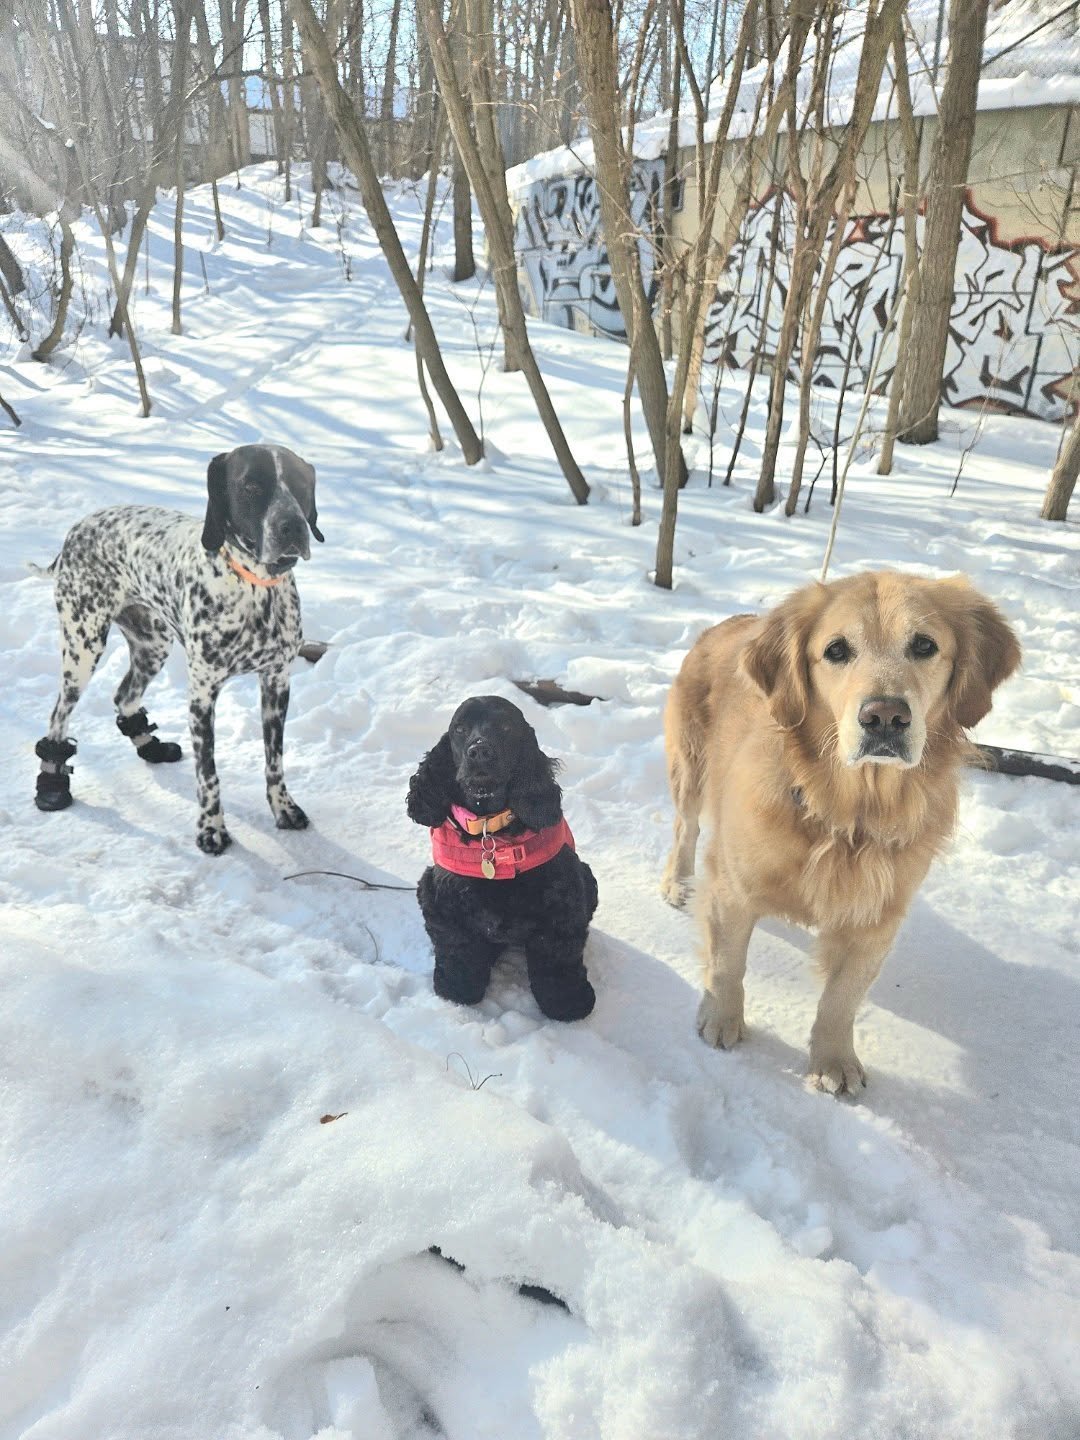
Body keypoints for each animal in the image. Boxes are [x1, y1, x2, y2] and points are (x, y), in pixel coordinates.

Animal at [32, 444, 324, 855]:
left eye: (299, 483)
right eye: (251, 485)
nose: (293, 526)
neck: (253, 589)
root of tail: (77, 529)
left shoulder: (277, 683)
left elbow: (274, 762)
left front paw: (284, 808)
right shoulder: (203, 695)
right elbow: (208, 773)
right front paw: (211, 828)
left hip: (153, 645)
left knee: (124, 696)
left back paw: (150, 747)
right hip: (82, 648)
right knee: (58, 718)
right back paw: (52, 783)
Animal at [407, 696, 598, 1021]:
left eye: (506, 727)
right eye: (460, 729)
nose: (480, 751)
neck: (489, 829)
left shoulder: (562, 903)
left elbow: (558, 959)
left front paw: (568, 1004)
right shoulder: (441, 900)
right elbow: (458, 949)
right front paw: (457, 990)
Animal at [662, 571, 1020, 1093]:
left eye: (925, 645)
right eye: (836, 650)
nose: (885, 716)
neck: (847, 812)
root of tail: (730, 622)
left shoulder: (876, 920)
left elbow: (842, 997)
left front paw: (833, 1061)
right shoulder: (733, 888)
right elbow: (728, 963)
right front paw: (720, 1020)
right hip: (690, 766)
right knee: (685, 826)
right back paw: (676, 881)